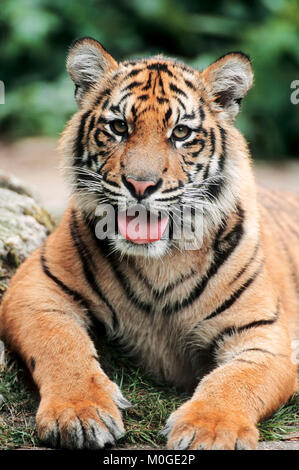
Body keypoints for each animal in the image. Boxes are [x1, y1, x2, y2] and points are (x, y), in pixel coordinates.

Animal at [0, 35, 299, 448]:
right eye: (118, 127)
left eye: (181, 133)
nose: (141, 185)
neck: (161, 261)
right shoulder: (34, 288)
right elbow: (60, 347)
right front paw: (78, 412)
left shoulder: (263, 333)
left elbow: (235, 380)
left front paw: (210, 429)